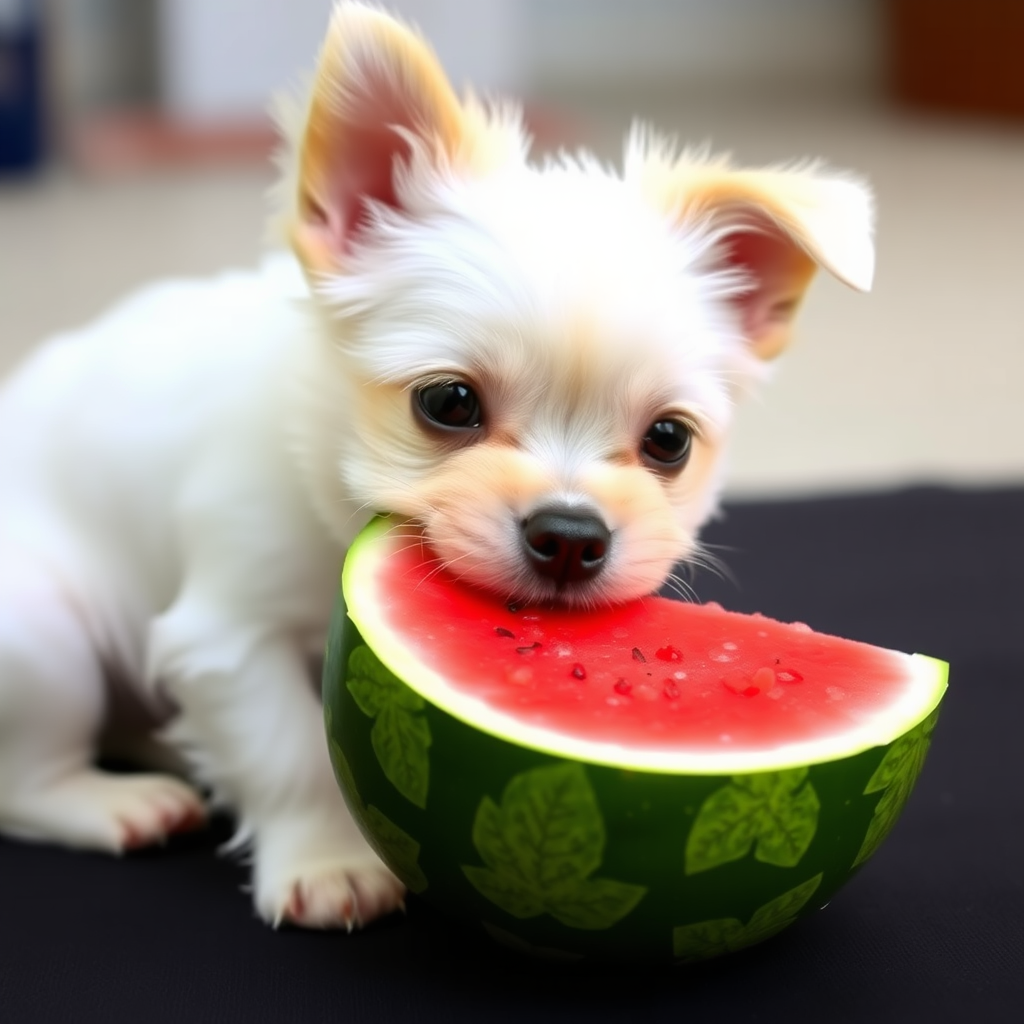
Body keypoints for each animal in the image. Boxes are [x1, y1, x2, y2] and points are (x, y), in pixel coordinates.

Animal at [0, 2, 872, 929]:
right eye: (449, 403)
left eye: (669, 440)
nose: (571, 536)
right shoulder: (226, 635)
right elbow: (286, 750)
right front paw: (329, 860)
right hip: (42, 638)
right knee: (25, 782)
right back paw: (115, 802)